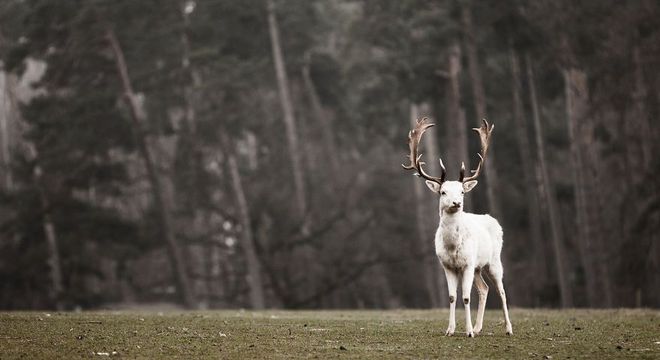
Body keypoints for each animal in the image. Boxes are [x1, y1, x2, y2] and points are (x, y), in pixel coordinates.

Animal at [402, 118, 516, 338]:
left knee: (501, 290)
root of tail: (494, 220)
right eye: (443, 192)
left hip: (493, 260)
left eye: (462, 191)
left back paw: (508, 328)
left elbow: (465, 297)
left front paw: (468, 331)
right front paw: (450, 330)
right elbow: (453, 297)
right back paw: (479, 327)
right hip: (479, 267)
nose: (457, 203)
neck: (453, 247)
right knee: (484, 289)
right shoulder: (447, 265)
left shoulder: (468, 263)